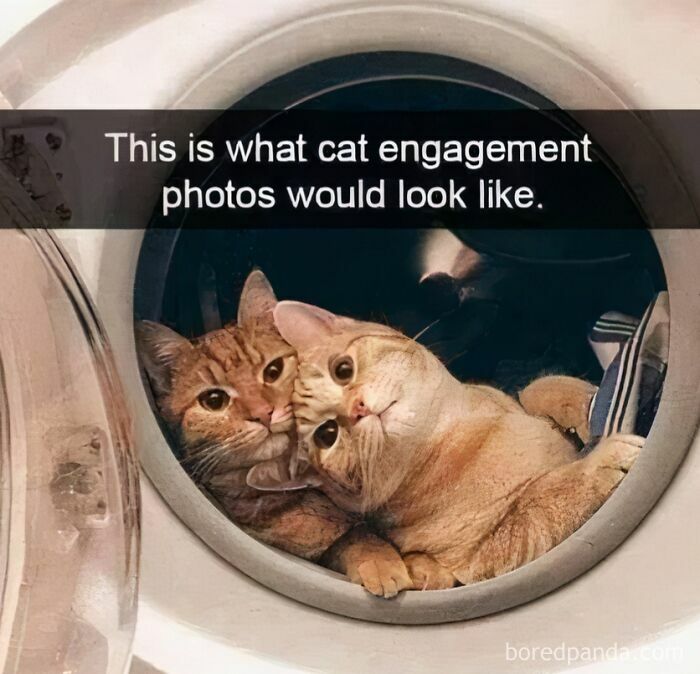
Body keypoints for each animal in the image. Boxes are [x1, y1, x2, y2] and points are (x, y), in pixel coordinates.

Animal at [274, 300, 644, 588]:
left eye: (343, 369)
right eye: (327, 434)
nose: (357, 409)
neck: (458, 433)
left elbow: (539, 387)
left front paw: (584, 406)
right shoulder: (494, 549)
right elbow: (548, 496)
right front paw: (600, 460)